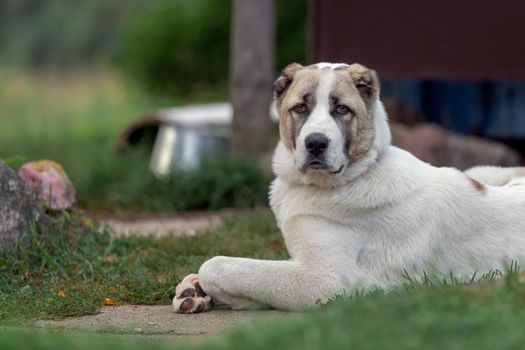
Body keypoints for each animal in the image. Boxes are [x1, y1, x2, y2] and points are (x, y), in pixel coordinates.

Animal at [173, 61, 524, 314]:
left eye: (341, 109)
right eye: (301, 108)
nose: (316, 143)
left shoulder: (323, 281)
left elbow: (220, 265)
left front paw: (209, 285)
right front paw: (194, 290)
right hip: (482, 171)